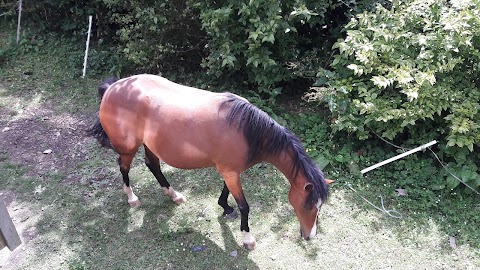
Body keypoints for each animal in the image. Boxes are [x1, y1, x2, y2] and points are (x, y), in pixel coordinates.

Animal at [88, 74, 330, 251]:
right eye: (308, 205)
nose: (310, 236)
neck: (247, 130)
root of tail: (113, 87)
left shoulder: (230, 172)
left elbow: (226, 192)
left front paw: (225, 207)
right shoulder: (230, 172)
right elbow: (244, 206)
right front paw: (247, 238)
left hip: (150, 145)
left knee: (152, 165)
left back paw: (174, 195)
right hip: (128, 148)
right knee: (124, 167)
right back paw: (132, 198)